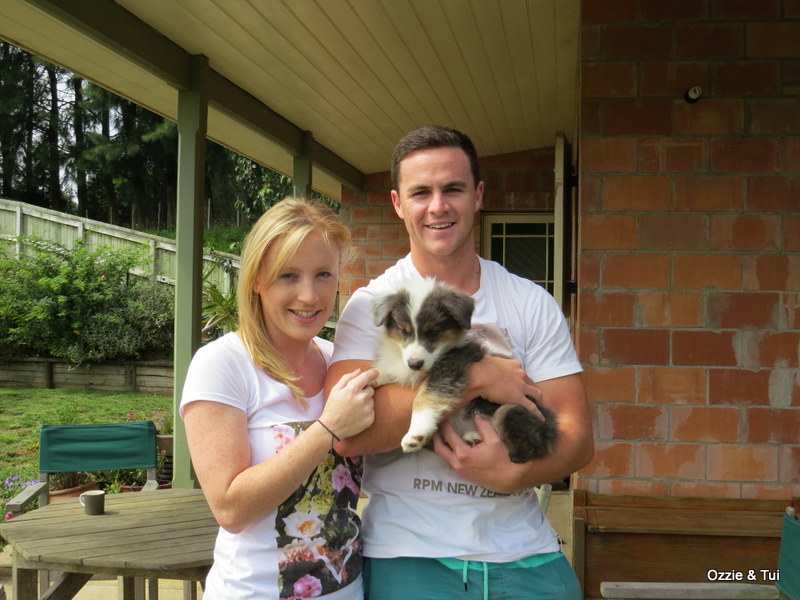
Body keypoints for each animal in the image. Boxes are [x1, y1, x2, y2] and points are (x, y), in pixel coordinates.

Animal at [371, 278, 557, 463]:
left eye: (433, 332)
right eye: (403, 331)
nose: (415, 364)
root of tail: (550, 428)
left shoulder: (450, 368)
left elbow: (425, 397)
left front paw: (416, 433)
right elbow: (387, 371)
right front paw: (368, 379)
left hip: (511, 411)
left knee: (523, 452)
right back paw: (474, 438)